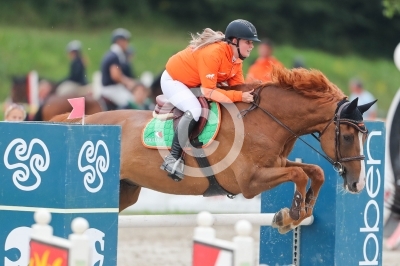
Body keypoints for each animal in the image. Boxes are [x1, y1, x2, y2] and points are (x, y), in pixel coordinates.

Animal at [50, 67, 376, 234]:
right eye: (348, 136)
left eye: (365, 135)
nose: (358, 184)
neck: (266, 120)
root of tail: (74, 120)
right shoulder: (248, 182)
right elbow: (298, 174)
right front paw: (290, 215)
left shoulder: (276, 163)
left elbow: (315, 171)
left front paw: (302, 211)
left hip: (125, 191)